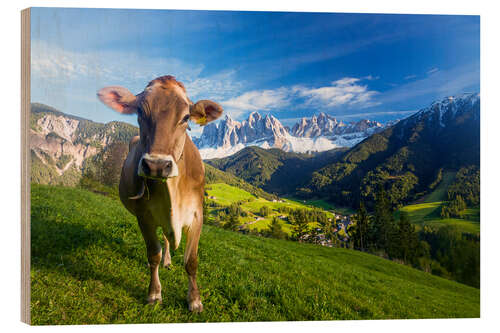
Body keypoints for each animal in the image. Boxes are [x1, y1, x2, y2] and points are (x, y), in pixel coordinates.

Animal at [97, 75, 223, 312]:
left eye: (186, 117)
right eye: (140, 112)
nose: (156, 166)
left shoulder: (197, 215)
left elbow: (191, 260)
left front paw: (195, 300)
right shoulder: (144, 216)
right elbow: (152, 253)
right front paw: (154, 293)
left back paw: (168, 261)